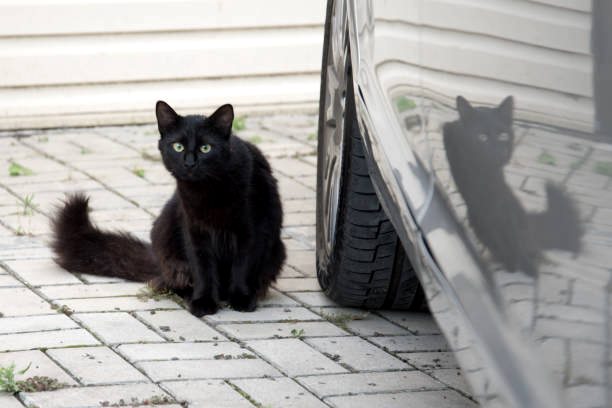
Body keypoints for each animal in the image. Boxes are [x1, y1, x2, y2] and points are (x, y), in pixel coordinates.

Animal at [51, 101, 286, 316]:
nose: (190, 163)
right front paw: (204, 302)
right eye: (178, 147)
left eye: (206, 148)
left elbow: (242, 266)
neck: (207, 191)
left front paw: (241, 299)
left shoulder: (251, 230)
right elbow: (203, 268)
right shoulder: (194, 231)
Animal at [442, 95, 580, 274]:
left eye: (503, 136)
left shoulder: (499, 193)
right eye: (481, 137)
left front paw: (527, 265)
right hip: (477, 220)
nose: (500, 153)